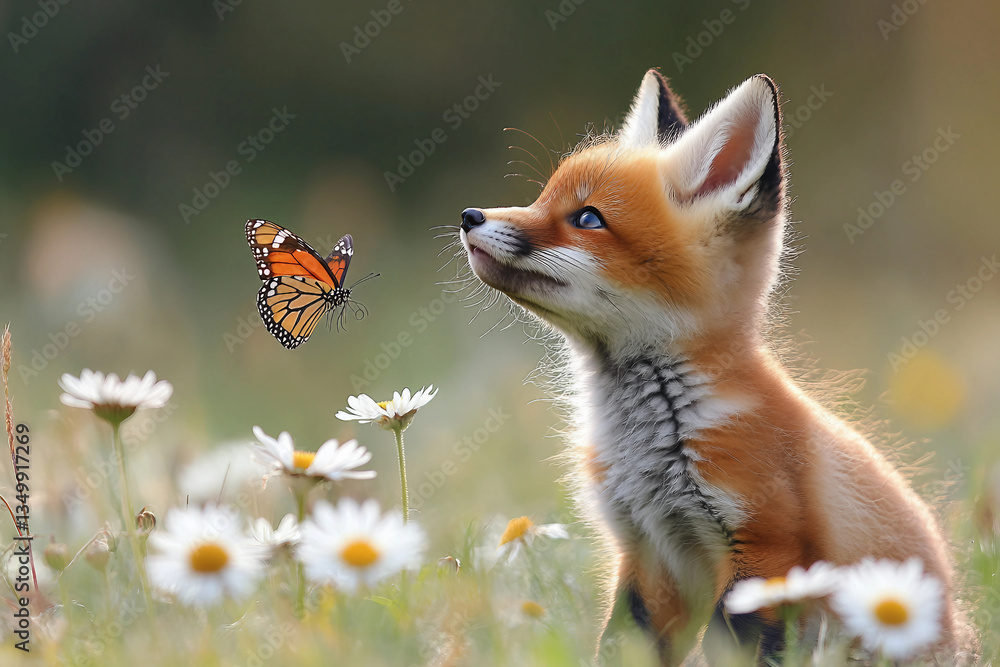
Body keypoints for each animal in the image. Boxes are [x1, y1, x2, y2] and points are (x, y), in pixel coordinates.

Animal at [458, 70, 974, 664]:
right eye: (541, 198)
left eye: (587, 218)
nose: (469, 216)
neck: (655, 444)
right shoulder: (650, 553)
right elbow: (620, 644)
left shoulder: (765, 550)